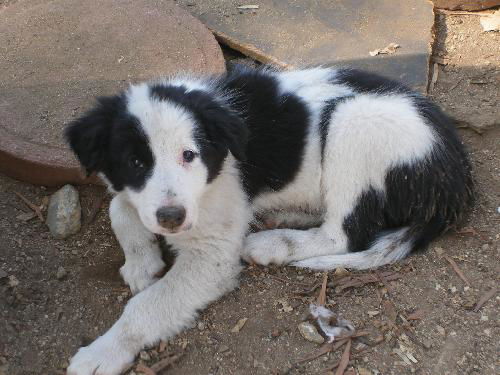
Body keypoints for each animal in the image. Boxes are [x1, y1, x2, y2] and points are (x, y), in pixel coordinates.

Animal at [63, 66, 472, 374]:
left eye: (189, 155)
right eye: (136, 162)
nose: (172, 218)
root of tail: (455, 175)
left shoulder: (212, 256)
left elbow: (147, 305)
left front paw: (103, 352)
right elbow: (120, 208)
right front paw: (140, 262)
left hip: (354, 122)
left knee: (344, 235)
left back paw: (273, 242)